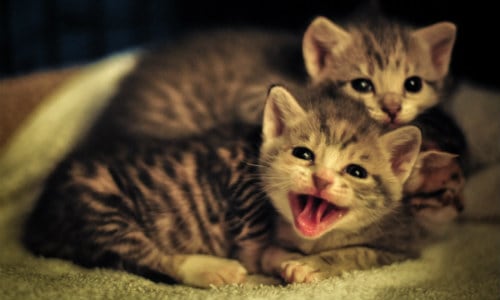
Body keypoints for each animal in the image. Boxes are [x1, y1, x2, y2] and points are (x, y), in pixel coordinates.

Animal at [22, 85, 422, 288]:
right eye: (303, 154)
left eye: (356, 171)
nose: (321, 178)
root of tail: (39, 217)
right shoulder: (238, 175)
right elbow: (253, 243)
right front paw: (274, 258)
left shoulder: (403, 245)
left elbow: (360, 253)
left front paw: (306, 265)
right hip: (97, 201)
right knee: (140, 252)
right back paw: (212, 269)